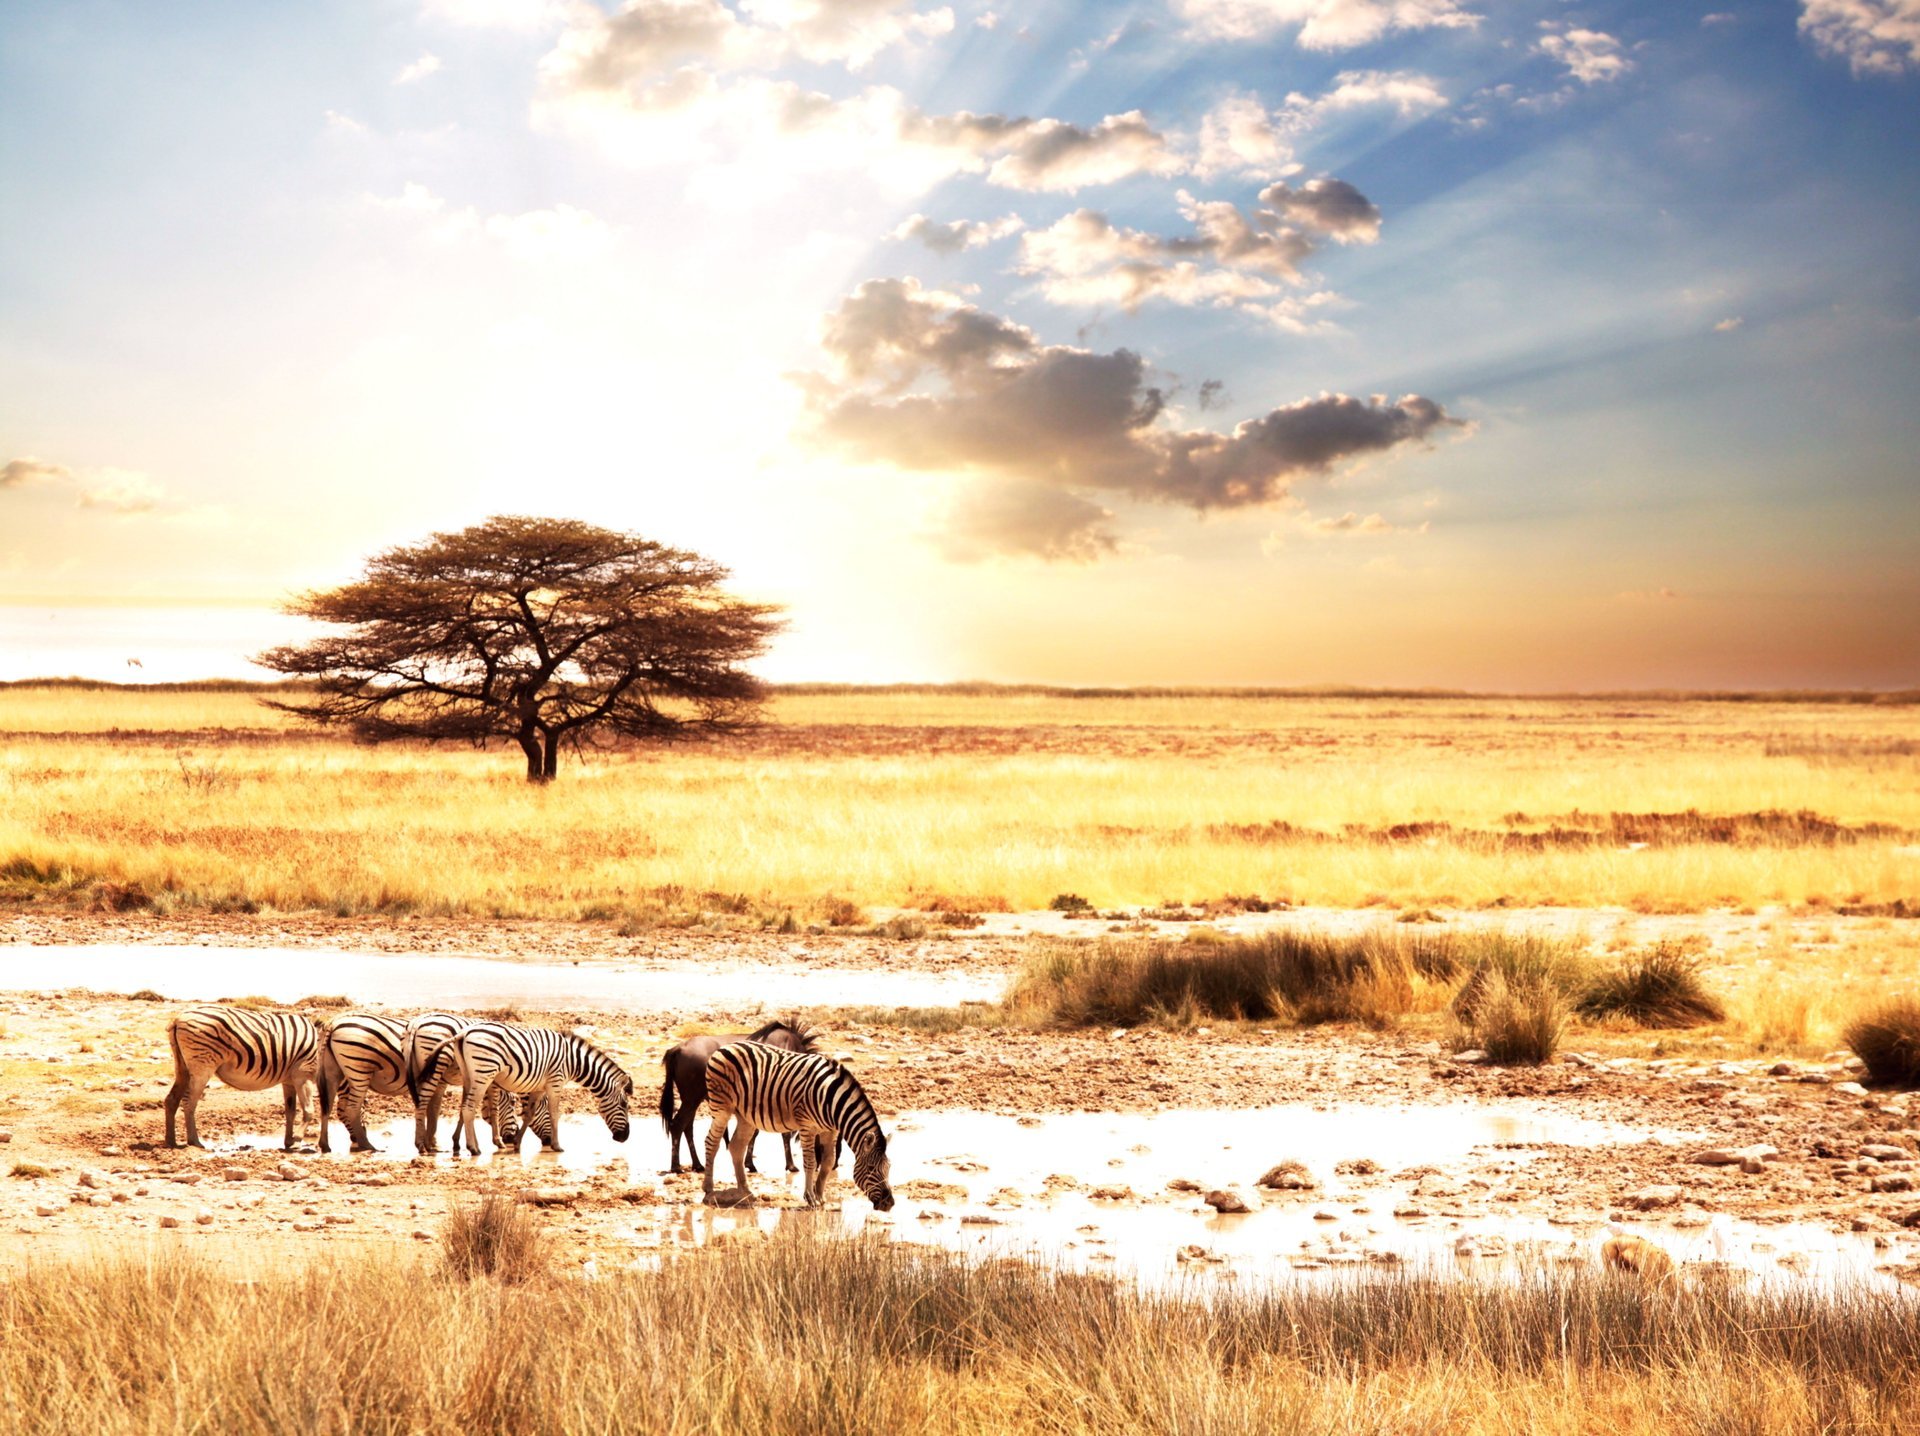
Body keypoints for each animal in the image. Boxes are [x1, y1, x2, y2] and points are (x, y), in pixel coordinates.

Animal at [164, 1004, 319, 1151]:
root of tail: (178, 1018)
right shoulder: (303, 1075)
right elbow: (308, 1110)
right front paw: (297, 1141)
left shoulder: (288, 1081)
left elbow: (290, 1112)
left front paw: (289, 1141)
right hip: (203, 1066)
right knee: (189, 1101)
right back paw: (194, 1142)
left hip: (182, 1066)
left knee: (171, 1099)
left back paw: (171, 1141)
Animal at [445, 1022, 634, 1156]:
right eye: (624, 1105)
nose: (625, 1137)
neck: (574, 1062)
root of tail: (463, 1033)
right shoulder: (556, 1082)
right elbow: (555, 1113)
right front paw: (557, 1146)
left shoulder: (540, 1087)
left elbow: (530, 1114)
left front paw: (517, 1144)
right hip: (484, 1073)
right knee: (469, 1109)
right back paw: (473, 1148)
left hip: (469, 1075)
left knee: (464, 1108)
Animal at [700, 1044, 893, 1211]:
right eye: (871, 1169)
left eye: (889, 1168)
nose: (889, 1203)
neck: (831, 1100)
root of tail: (724, 1047)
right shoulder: (807, 1126)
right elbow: (811, 1162)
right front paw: (810, 1197)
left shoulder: (831, 1130)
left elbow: (828, 1161)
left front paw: (820, 1196)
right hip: (721, 1108)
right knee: (711, 1142)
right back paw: (708, 1188)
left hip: (745, 1116)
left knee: (736, 1147)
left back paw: (745, 1191)